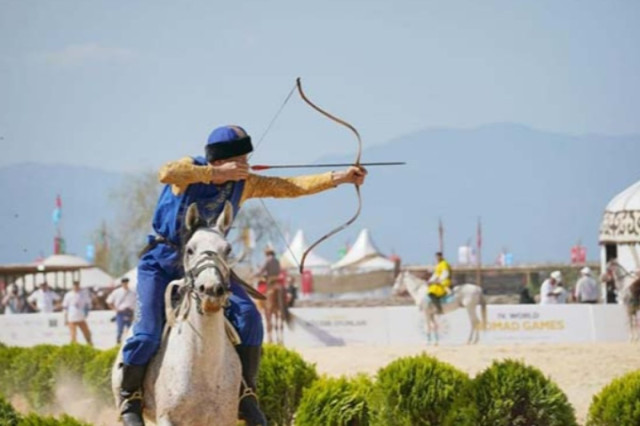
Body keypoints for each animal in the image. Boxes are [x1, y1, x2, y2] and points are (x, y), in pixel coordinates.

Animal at [112, 202, 242, 426]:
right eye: (190, 250)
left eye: (227, 249)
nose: (210, 290)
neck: (204, 368)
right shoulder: (167, 418)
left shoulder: (223, 420)